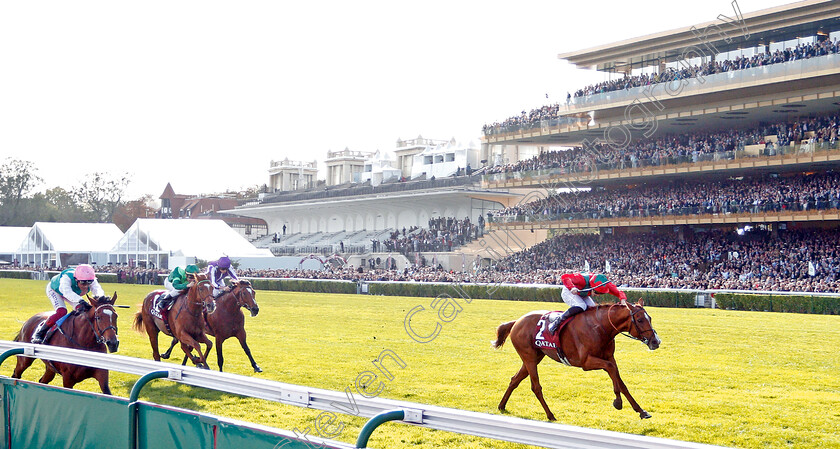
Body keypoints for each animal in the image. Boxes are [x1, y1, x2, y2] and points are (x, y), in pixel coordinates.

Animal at [492, 298, 664, 420]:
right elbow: (611, 369)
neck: (600, 327)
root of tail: (516, 321)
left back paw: (501, 406)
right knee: (536, 387)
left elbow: (620, 380)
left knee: (515, 380)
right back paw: (550, 415)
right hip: (529, 358)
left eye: (650, 318)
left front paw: (641, 411)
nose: (656, 341)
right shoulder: (586, 362)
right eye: (640, 320)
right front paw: (618, 402)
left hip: (534, 357)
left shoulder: (609, 357)